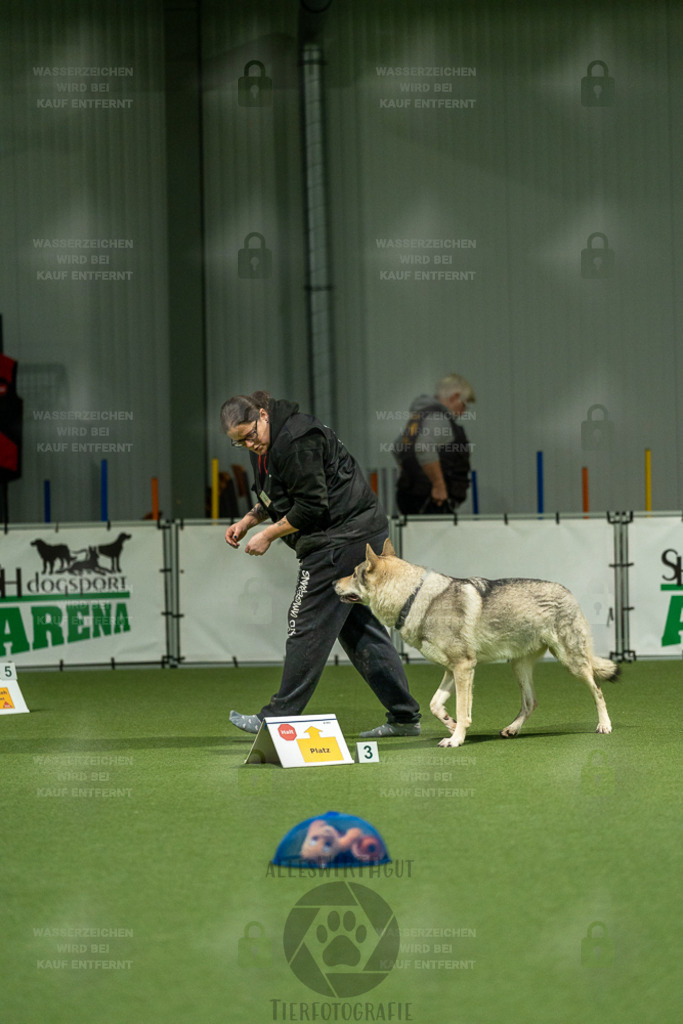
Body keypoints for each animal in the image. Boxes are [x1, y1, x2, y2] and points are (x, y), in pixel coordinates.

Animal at [333, 540, 618, 749]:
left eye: (353, 573)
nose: (333, 582)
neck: (412, 598)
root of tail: (569, 592)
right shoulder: (452, 669)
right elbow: (435, 705)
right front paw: (450, 725)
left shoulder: (464, 667)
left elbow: (462, 709)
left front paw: (456, 739)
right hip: (518, 667)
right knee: (531, 702)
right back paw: (512, 729)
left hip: (572, 663)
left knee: (598, 690)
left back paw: (605, 725)